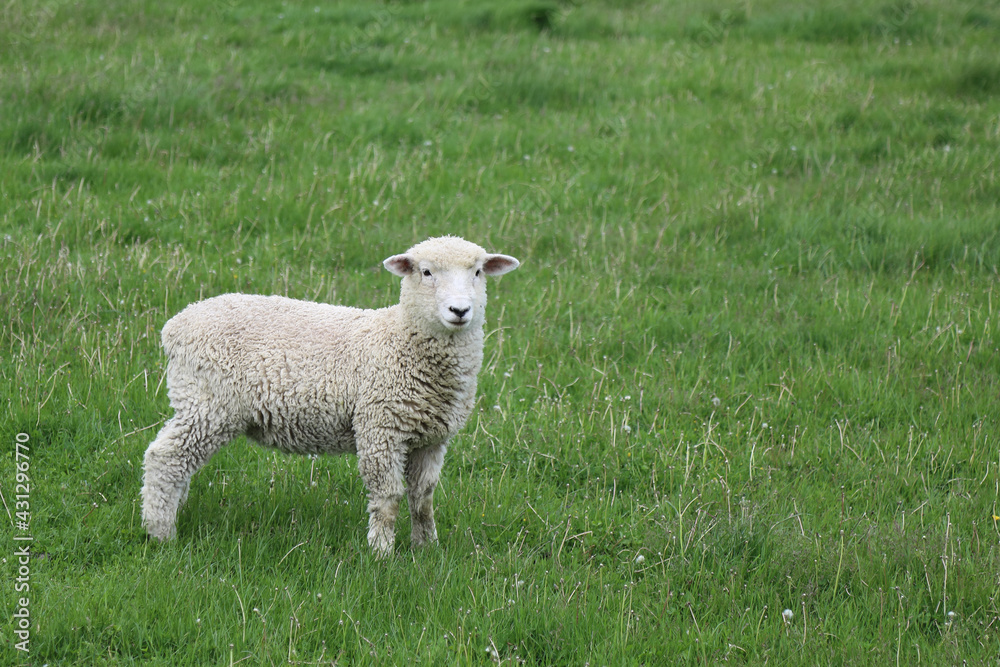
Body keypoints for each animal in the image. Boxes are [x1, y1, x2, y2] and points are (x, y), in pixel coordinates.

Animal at [141, 236, 519, 555]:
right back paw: (160, 532)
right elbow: (388, 498)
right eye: (426, 272)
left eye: (478, 272)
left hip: (199, 403)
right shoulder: (379, 428)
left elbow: (422, 499)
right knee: (164, 457)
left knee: (180, 462)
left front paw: (426, 548)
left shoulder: (432, 438)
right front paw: (381, 553)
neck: (399, 338)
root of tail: (175, 325)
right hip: (210, 403)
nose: (460, 311)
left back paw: (172, 511)